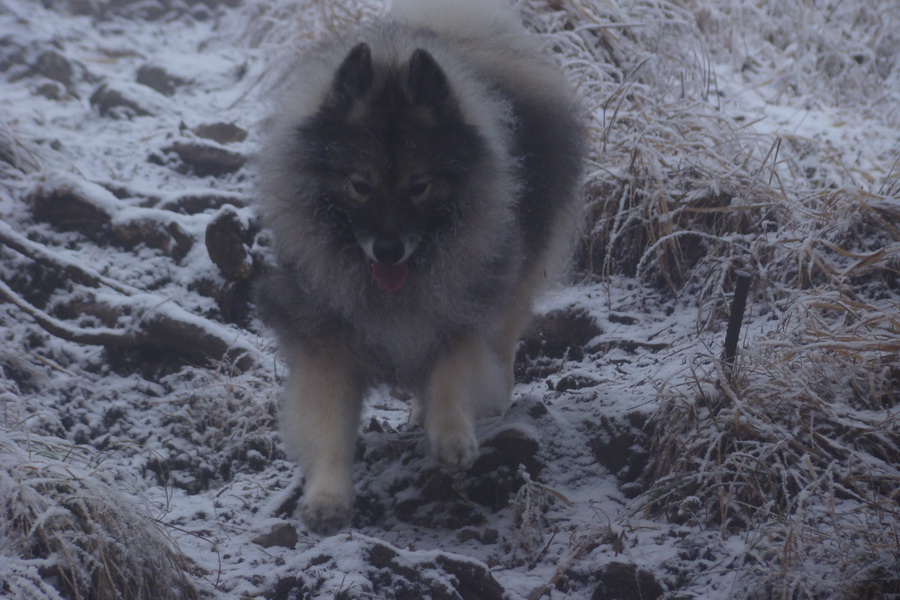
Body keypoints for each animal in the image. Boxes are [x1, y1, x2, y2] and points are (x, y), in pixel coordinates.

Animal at [256, 0, 588, 536]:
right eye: (360, 185)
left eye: (419, 186)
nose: (389, 248)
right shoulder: (326, 340)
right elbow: (328, 424)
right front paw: (327, 497)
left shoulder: (463, 309)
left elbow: (453, 370)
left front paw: (453, 435)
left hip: (514, 284)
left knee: (502, 344)